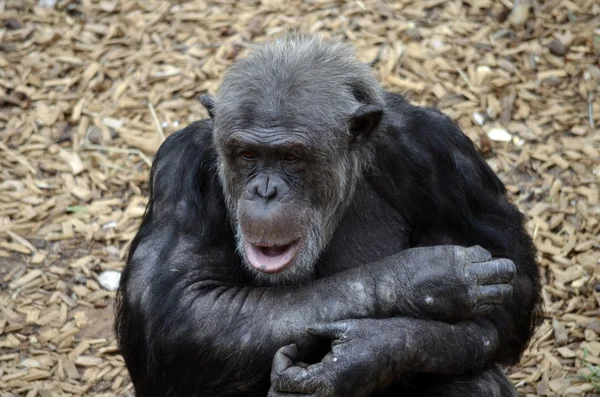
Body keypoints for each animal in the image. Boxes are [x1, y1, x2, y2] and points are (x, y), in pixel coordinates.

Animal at [115, 34, 540, 396]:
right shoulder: (181, 169)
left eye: (291, 157)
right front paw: (427, 278)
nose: (265, 191)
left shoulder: (442, 153)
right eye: (247, 154)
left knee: (474, 380)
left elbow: (510, 297)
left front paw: (366, 354)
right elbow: (182, 310)